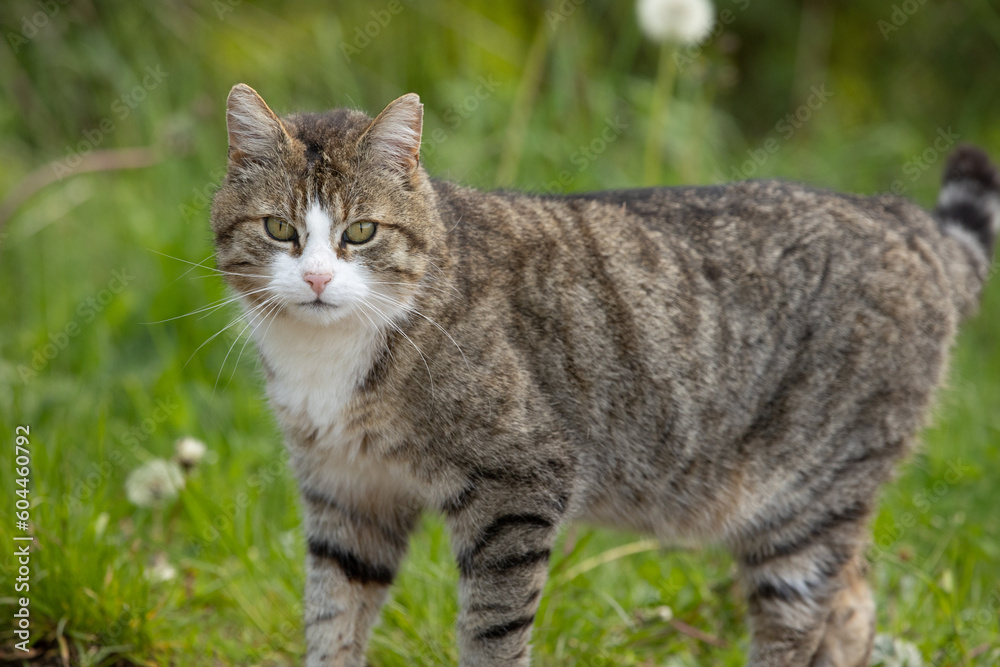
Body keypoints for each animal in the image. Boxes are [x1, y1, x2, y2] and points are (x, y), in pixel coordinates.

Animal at [209, 85, 992, 667]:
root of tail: (904, 221)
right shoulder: (347, 493)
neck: (329, 357)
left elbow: (493, 628)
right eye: (280, 229)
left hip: (806, 502)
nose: (316, 278)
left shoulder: (520, 481)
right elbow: (332, 614)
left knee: (803, 616)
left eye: (361, 232)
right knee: (854, 602)